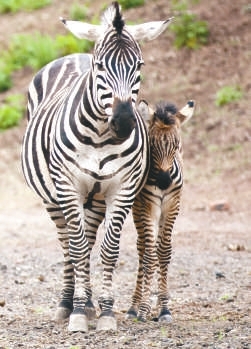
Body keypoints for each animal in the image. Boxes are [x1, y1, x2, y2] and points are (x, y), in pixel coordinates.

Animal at [21, 0, 173, 332]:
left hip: (96, 199)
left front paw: (105, 311)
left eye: (139, 65)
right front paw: (77, 313)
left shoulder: (121, 189)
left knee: (88, 240)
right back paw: (68, 303)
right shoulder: (68, 187)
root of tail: (74, 55)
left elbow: (108, 249)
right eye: (100, 66)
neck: (102, 137)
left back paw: (89, 302)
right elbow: (76, 248)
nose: (125, 122)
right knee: (69, 244)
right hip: (52, 197)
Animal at [126, 98, 195, 320]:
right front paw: (143, 307)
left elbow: (163, 252)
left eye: (176, 145)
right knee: (142, 249)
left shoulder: (172, 204)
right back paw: (134, 306)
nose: (164, 182)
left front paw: (164, 307)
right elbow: (149, 255)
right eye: (152, 145)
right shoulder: (149, 206)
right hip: (138, 209)